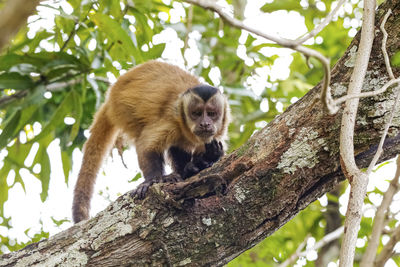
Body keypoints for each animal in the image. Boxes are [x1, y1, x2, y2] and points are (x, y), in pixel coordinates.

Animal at [70, 60, 230, 224]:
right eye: (196, 114)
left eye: (211, 114)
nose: (205, 124)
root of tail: (110, 98)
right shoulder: (171, 120)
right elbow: (147, 145)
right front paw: (153, 180)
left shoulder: (219, 131)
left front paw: (209, 158)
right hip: (123, 111)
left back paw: (188, 169)